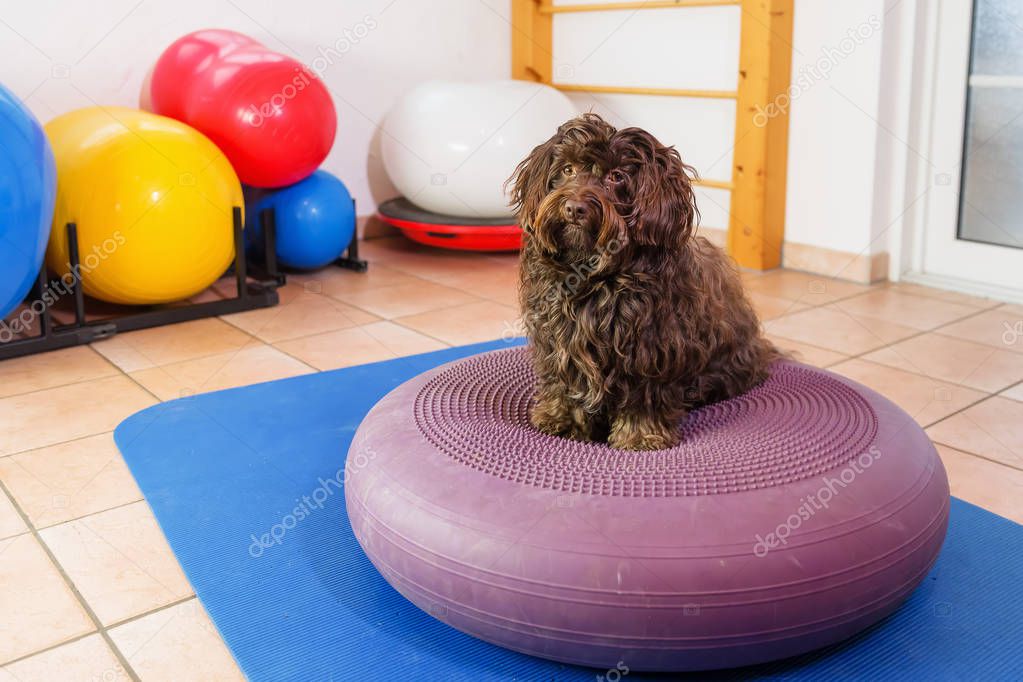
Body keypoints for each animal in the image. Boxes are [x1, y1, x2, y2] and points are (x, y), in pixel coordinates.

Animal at [507, 114, 777, 449]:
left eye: (617, 176)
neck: (593, 274)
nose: (574, 208)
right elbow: (563, 379)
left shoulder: (649, 346)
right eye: (568, 169)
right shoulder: (557, 338)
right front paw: (562, 419)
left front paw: (639, 436)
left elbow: (643, 395)